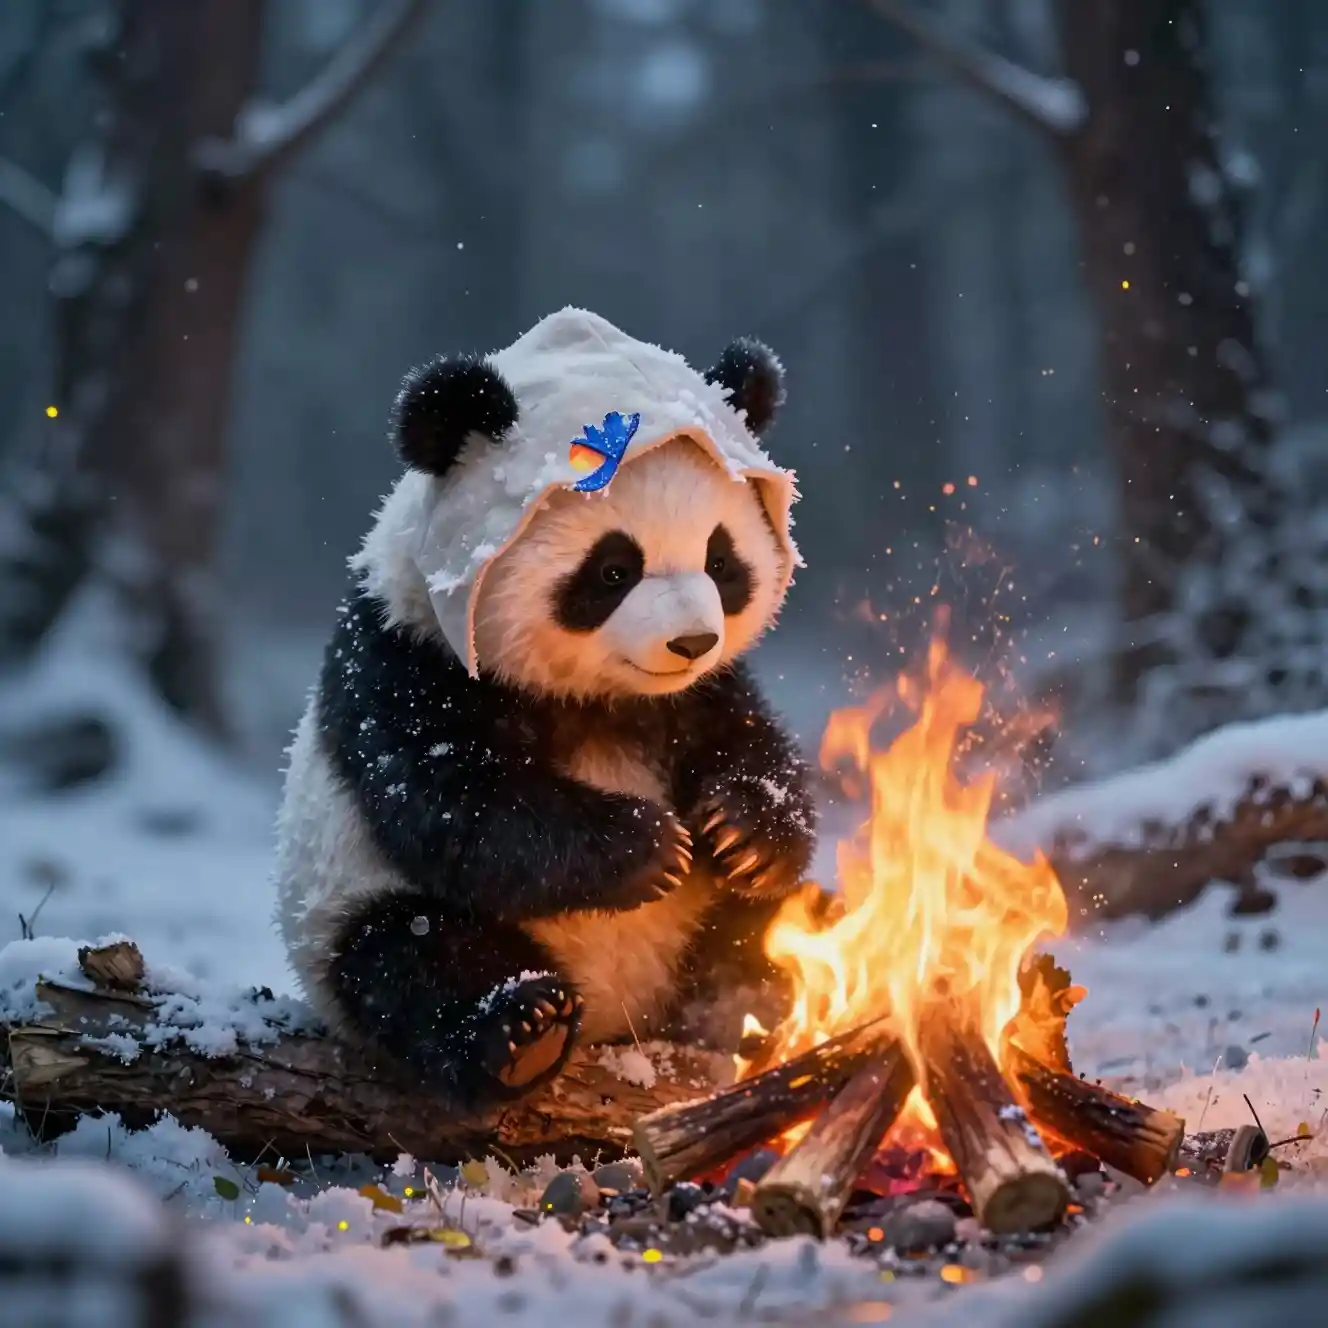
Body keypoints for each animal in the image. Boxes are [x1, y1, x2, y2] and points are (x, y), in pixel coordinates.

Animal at [274, 307, 819, 1109]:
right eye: (614, 570)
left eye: (722, 562)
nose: (691, 640)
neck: (598, 695)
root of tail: (623, 1017)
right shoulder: (406, 658)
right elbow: (455, 803)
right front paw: (648, 848)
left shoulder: (697, 693)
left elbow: (749, 742)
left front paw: (743, 833)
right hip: (341, 910)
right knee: (411, 956)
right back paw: (524, 1026)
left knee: (758, 922)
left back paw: (745, 989)